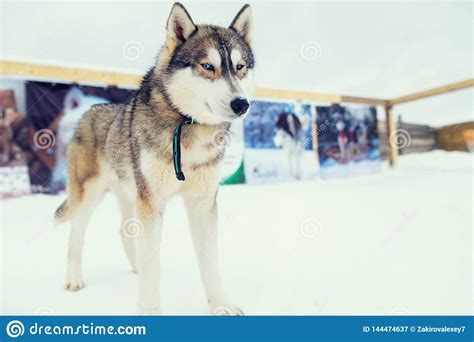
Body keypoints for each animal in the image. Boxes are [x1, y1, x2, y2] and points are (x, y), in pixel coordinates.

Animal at [54, 2, 256, 316]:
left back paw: (134, 267)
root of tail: (89, 112)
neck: (188, 126)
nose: (241, 104)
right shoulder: (151, 202)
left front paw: (221, 304)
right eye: (207, 66)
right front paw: (148, 311)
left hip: (129, 193)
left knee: (125, 233)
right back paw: (74, 279)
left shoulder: (202, 202)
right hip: (88, 196)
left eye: (239, 67)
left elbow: (209, 261)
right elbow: (153, 265)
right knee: (76, 234)